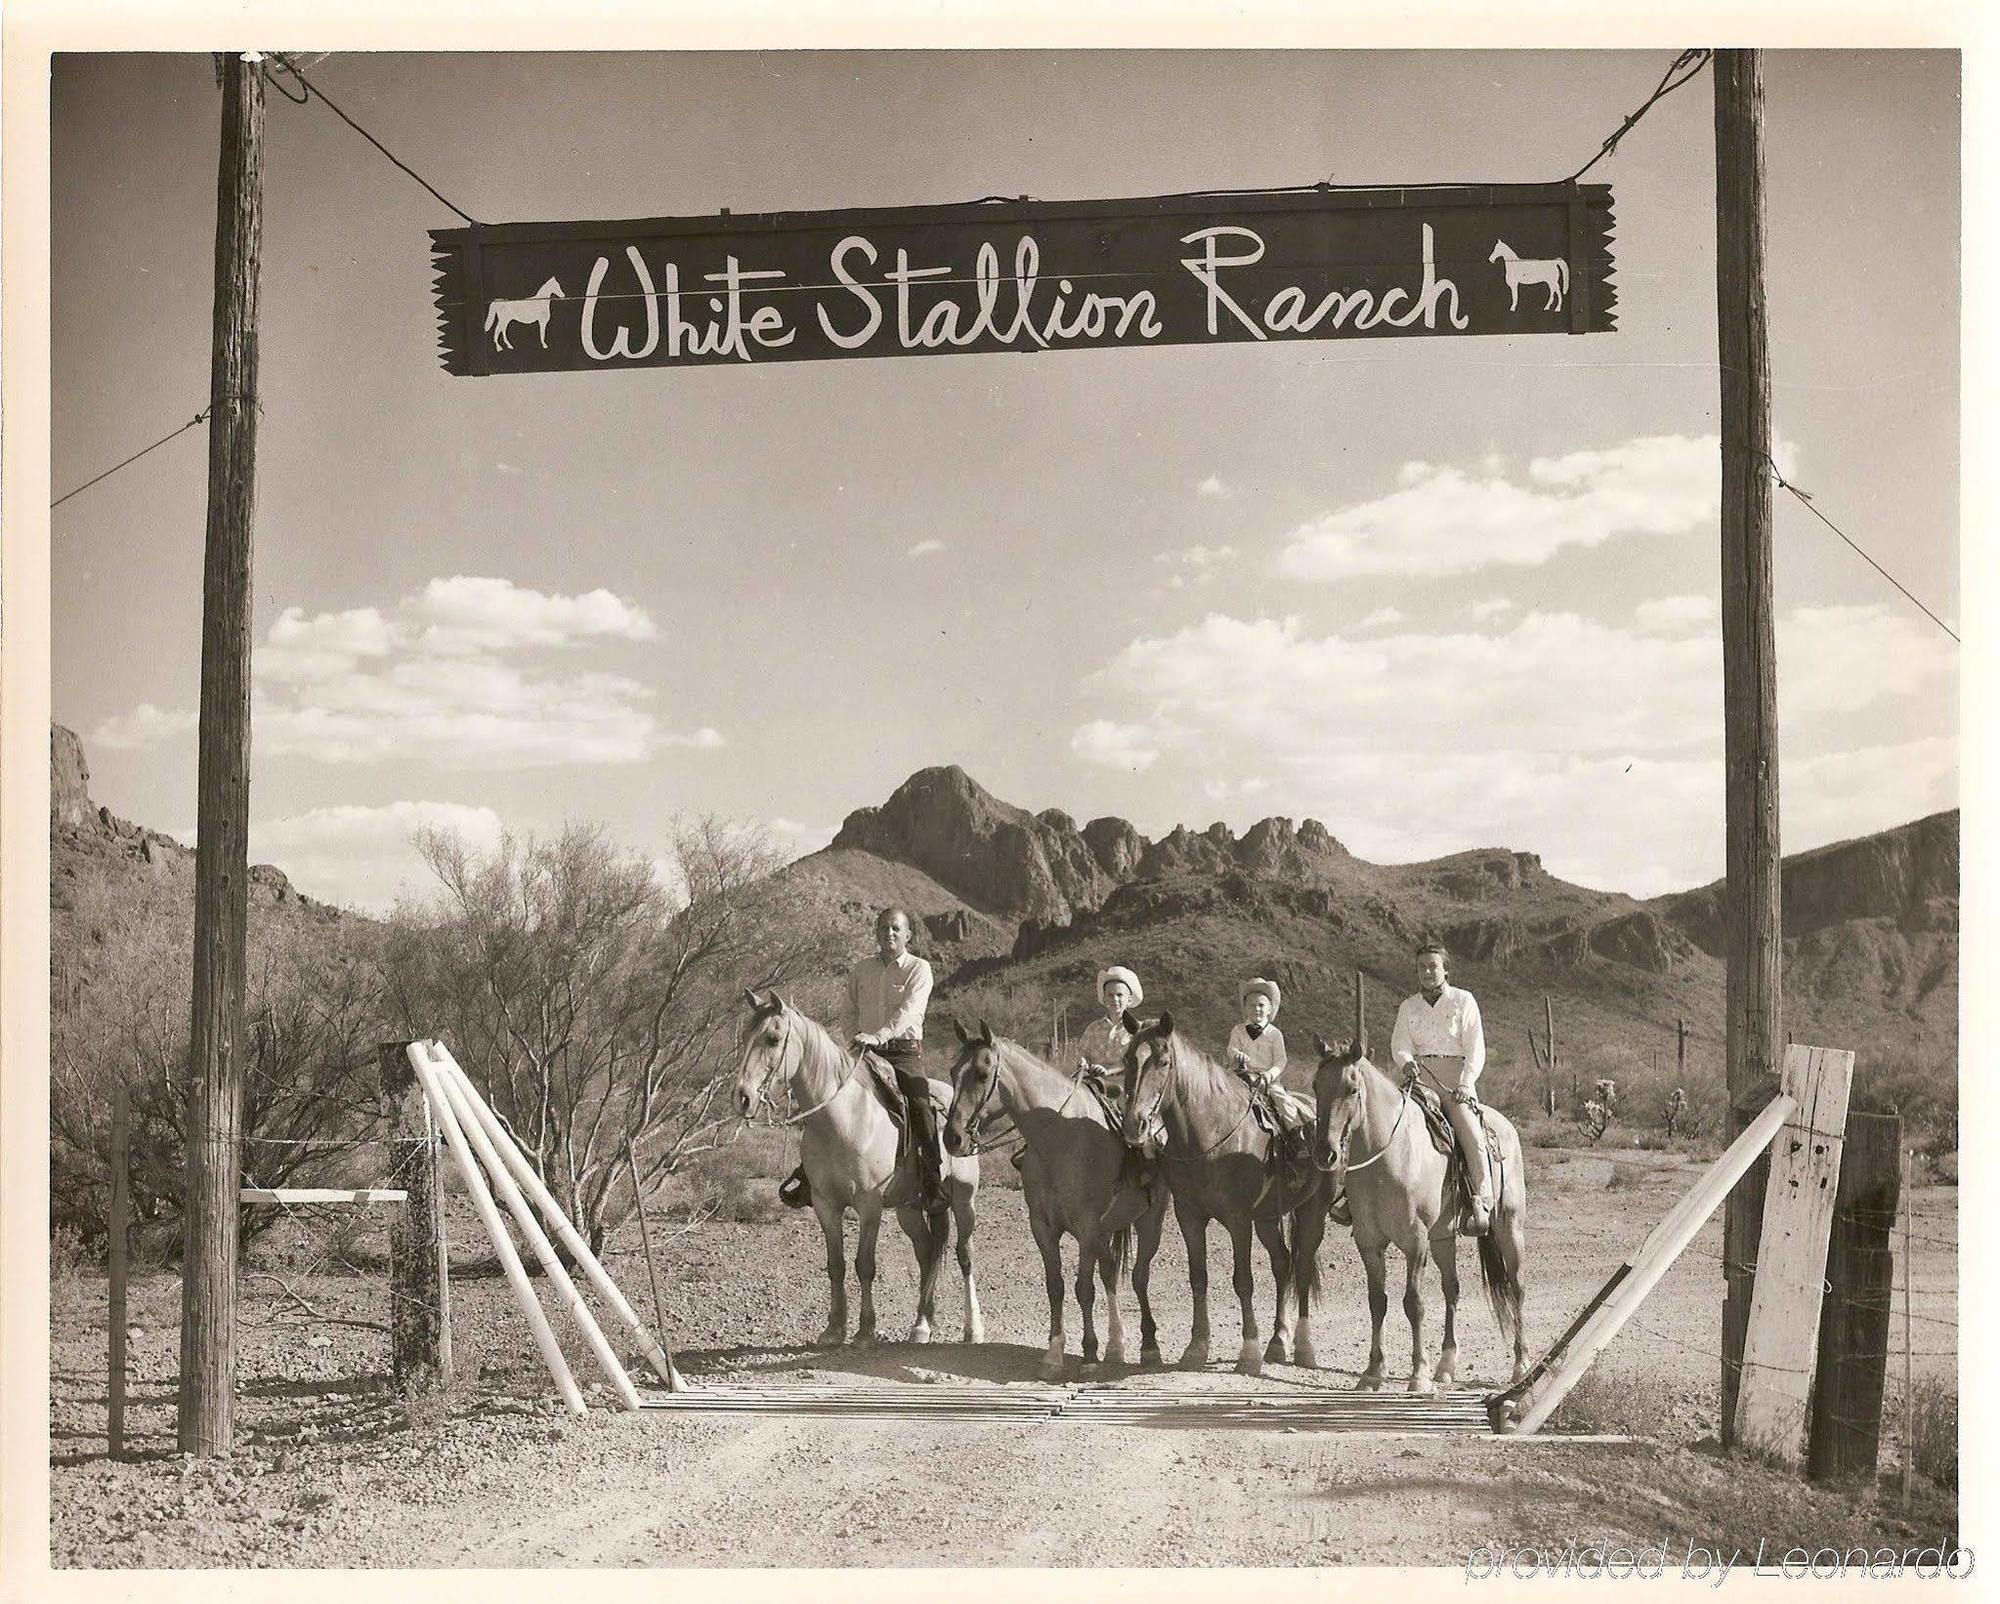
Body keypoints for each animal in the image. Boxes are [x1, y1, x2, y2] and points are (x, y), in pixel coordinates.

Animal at [736, 992, 984, 1344]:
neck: (843, 1118)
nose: (742, 1097)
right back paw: (922, 1323)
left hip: (964, 1200)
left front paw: (866, 1330)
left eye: (772, 1038)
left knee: (965, 1256)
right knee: (927, 1253)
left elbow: (864, 1264)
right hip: (910, 1207)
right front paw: (834, 1328)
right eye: (745, 1035)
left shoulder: (869, 1205)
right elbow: (836, 1264)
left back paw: (972, 1327)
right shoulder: (826, 1204)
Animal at [940, 1024, 1168, 1376]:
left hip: (1149, 1220)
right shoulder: (1044, 1228)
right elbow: (1056, 1287)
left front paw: (1089, 1356)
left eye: (981, 1074)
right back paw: (1116, 1345)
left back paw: (1149, 1347)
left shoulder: (1087, 1229)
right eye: (953, 1072)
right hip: (1107, 1231)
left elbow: (1083, 1289)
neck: (1060, 1138)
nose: (953, 1138)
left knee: (1139, 1277)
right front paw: (1054, 1354)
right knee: (1110, 1272)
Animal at [1312, 1040, 1528, 1384]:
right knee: (1452, 1289)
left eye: (1351, 1089)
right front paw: (1373, 1371)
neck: (1388, 1154)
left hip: (1509, 1227)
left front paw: (1419, 1373)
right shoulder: (1369, 1241)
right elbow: (1377, 1301)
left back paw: (1520, 1364)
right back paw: (1447, 1365)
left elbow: (1413, 1303)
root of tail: (1506, 1126)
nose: (1325, 1153)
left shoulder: (1415, 1241)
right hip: (1441, 1238)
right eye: (1315, 1086)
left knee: (1517, 1286)